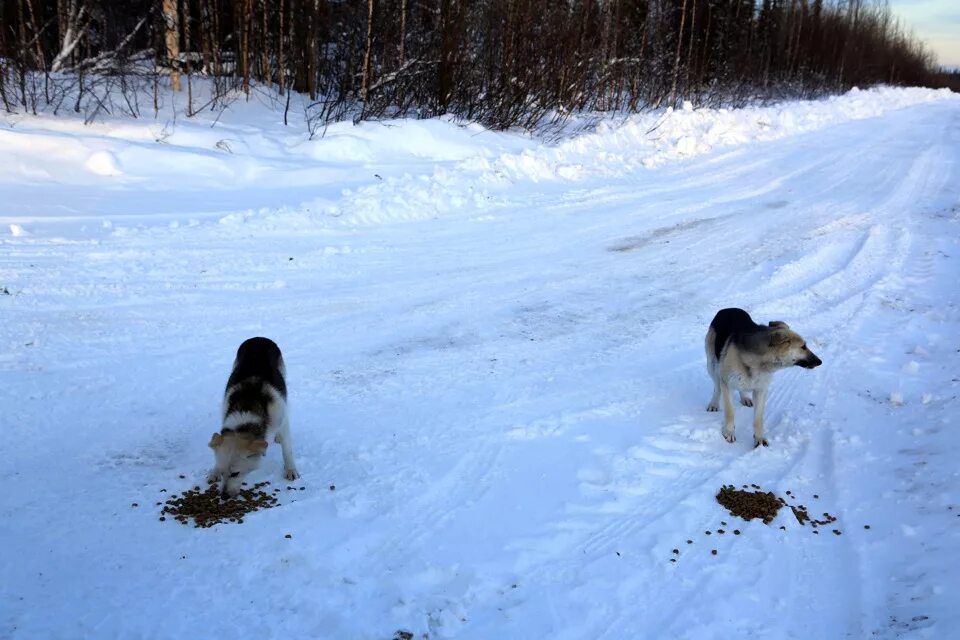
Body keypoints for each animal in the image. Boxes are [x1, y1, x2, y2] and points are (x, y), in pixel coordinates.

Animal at [700, 308, 820, 448]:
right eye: (803, 347)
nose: (820, 362)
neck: (759, 362)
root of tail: (726, 309)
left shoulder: (761, 390)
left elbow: (758, 418)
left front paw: (759, 438)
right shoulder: (727, 383)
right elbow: (730, 412)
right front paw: (728, 432)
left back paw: (745, 398)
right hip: (712, 366)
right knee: (717, 386)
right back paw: (714, 403)